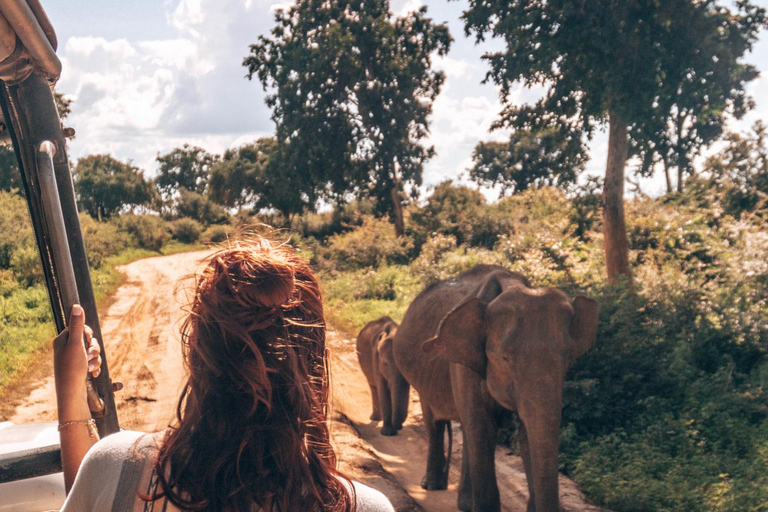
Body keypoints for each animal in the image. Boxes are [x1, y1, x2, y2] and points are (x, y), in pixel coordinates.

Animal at [396, 266, 600, 510]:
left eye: (569, 357)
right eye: (504, 358)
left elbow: (525, 433)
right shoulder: (463, 364)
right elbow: (483, 428)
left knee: (468, 428)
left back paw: (465, 503)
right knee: (437, 421)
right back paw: (432, 486)